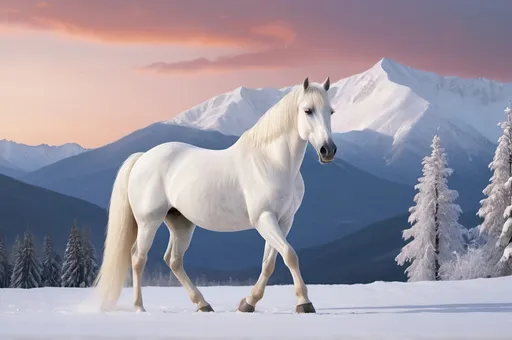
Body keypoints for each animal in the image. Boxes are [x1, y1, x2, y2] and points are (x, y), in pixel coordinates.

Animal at [94, 76, 338, 314]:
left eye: (331, 111)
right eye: (308, 110)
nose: (328, 150)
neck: (272, 162)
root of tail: (142, 157)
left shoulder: (284, 221)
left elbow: (270, 263)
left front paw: (248, 303)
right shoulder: (264, 218)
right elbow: (289, 255)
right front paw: (304, 303)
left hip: (181, 223)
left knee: (173, 260)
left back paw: (202, 304)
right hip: (148, 222)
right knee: (138, 258)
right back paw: (139, 307)